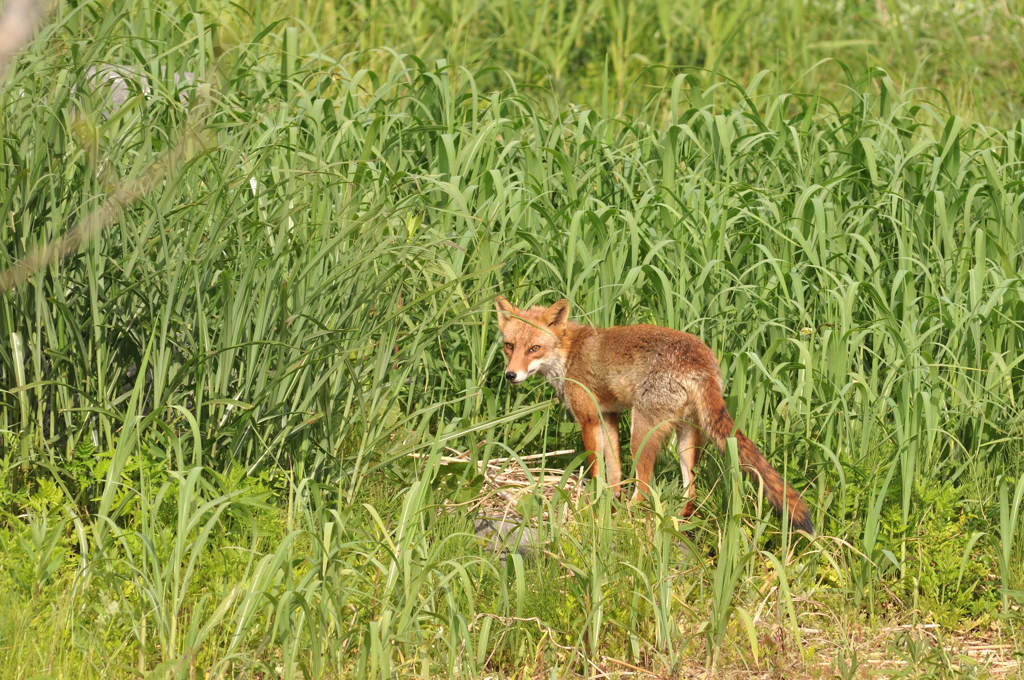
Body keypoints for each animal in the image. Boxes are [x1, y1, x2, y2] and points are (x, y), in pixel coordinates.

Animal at [495, 296, 815, 536]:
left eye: (534, 348)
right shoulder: (609, 416)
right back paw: (678, 520)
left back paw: (630, 517)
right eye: (509, 346)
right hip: (686, 439)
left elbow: (597, 467)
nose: (510, 375)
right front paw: (610, 499)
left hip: (641, 433)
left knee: (645, 490)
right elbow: (614, 469)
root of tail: (702, 361)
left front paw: (595, 503)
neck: (568, 353)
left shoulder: (589, 419)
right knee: (691, 492)